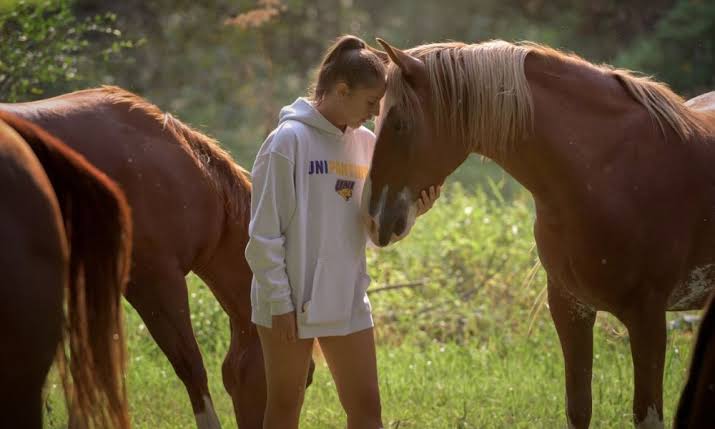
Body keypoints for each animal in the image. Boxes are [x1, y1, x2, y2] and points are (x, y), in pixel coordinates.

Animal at [364, 38, 715, 428]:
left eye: (399, 124)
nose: (374, 220)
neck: (609, 173)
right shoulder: (570, 307)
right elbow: (578, 408)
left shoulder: (648, 318)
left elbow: (647, 414)